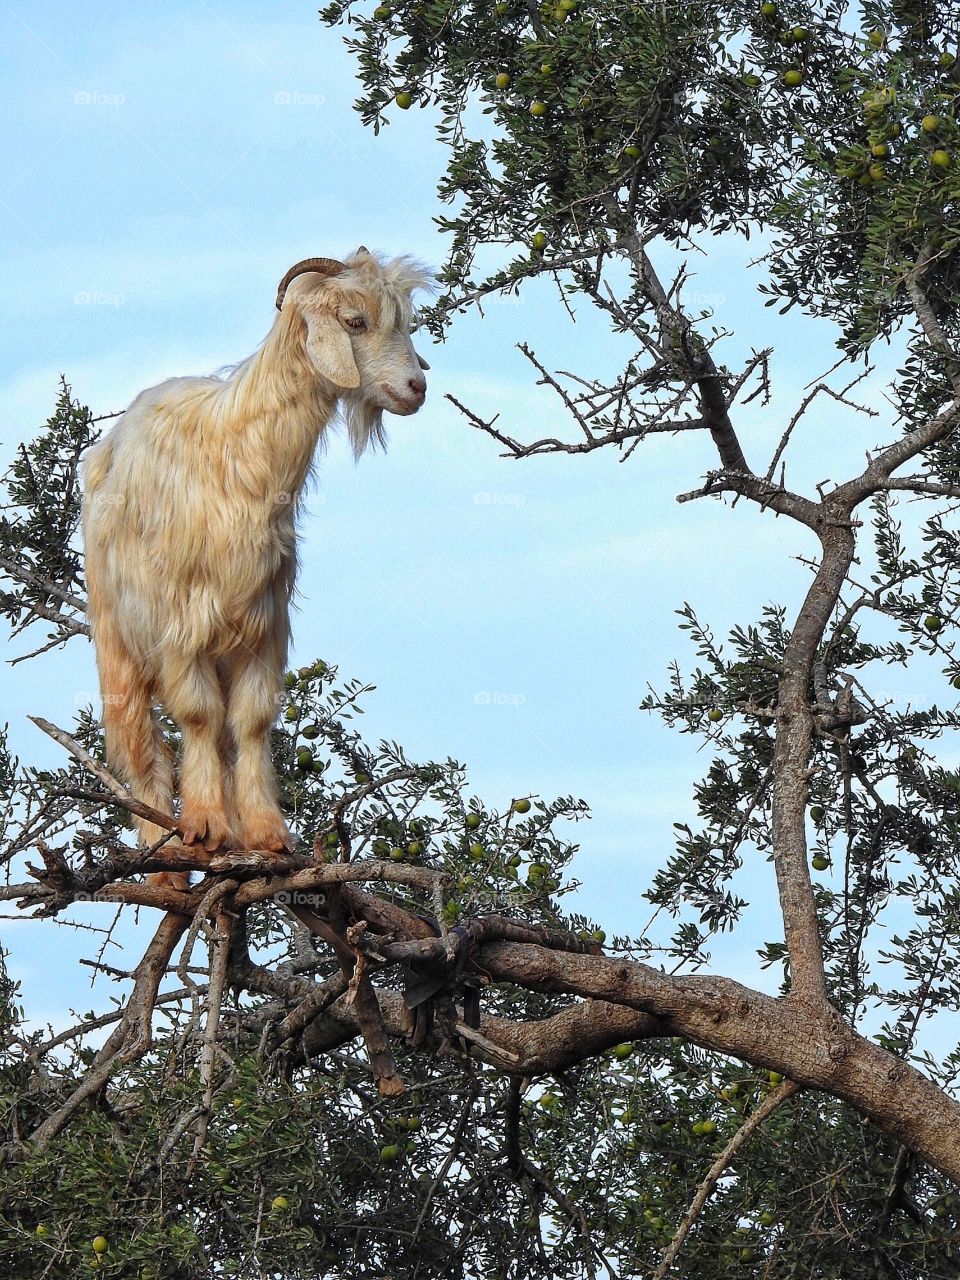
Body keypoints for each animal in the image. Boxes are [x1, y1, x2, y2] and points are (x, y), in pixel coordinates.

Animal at [82, 249, 435, 890]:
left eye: (402, 320)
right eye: (355, 322)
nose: (416, 387)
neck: (240, 459)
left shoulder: (263, 621)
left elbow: (248, 721)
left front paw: (266, 836)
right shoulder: (184, 620)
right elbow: (197, 716)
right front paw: (204, 827)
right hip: (118, 634)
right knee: (141, 742)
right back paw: (166, 866)